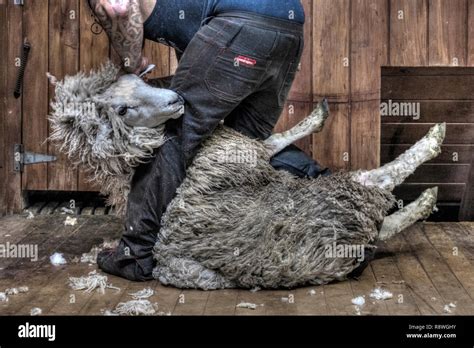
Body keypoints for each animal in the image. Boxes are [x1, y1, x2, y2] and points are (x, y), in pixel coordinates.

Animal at [48, 61, 444, 288]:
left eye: (136, 79)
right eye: (122, 109)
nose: (176, 99)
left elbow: (277, 140)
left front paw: (317, 117)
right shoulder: (243, 151)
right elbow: (274, 140)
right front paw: (316, 119)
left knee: (385, 225)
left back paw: (421, 201)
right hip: (336, 198)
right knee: (376, 183)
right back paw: (430, 156)